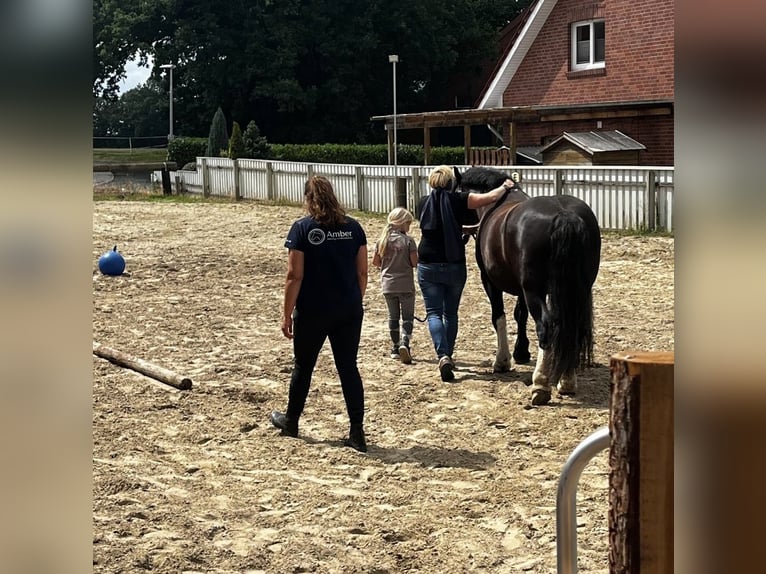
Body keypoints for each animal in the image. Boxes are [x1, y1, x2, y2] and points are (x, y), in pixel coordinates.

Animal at [456, 169, 600, 408]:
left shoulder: (491, 282)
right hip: (576, 290)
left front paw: (503, 360)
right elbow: (520, 314)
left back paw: (540, 384)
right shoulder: (522, 288)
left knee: (546, 326)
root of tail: (564, 214)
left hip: (535, 291)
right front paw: (521, 350)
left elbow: (499, 317)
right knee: (572, 326)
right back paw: (567, 381)